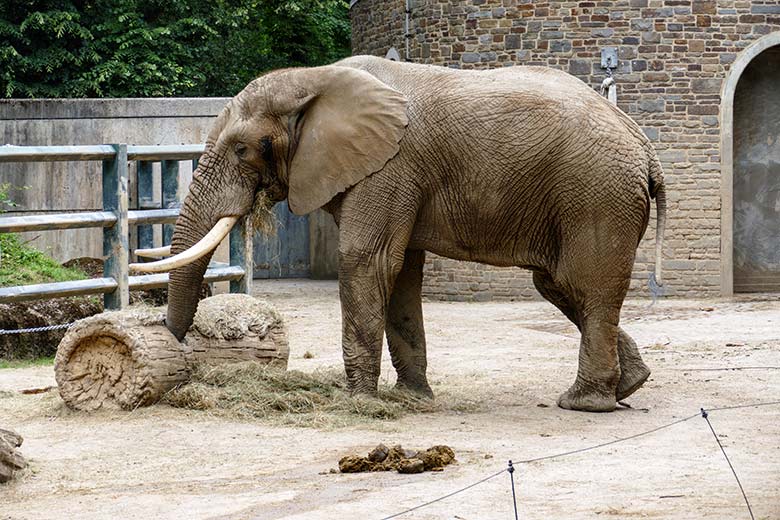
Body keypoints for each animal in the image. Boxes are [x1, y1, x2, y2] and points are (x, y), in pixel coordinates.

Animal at [131, 55, 668, 414]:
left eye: (244, 149)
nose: (172, 342)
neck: (315, 79)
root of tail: (646, 148)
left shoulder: (389, 167)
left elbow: (365, 261)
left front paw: (357, 403)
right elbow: (402, 273)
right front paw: (411, 399)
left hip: (596, 195)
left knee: (583, 286)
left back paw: (582, 403)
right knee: (559, 286)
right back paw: (630, 386)